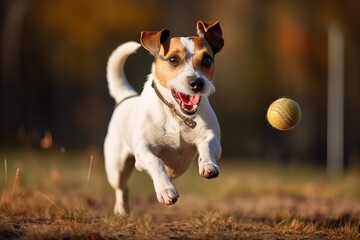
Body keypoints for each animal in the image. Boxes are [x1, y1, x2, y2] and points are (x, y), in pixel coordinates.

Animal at [102, 20, 224, 215]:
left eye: (207, 60)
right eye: (173, 59)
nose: (197, 83)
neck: (175, 113)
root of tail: (125, 98)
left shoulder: (212, 138)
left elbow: (207, 145)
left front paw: (207, 165)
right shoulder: (142, 150)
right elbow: (156, 161)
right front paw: (166, 190)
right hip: (116, 167)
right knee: (121, 187)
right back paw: (121, 209)